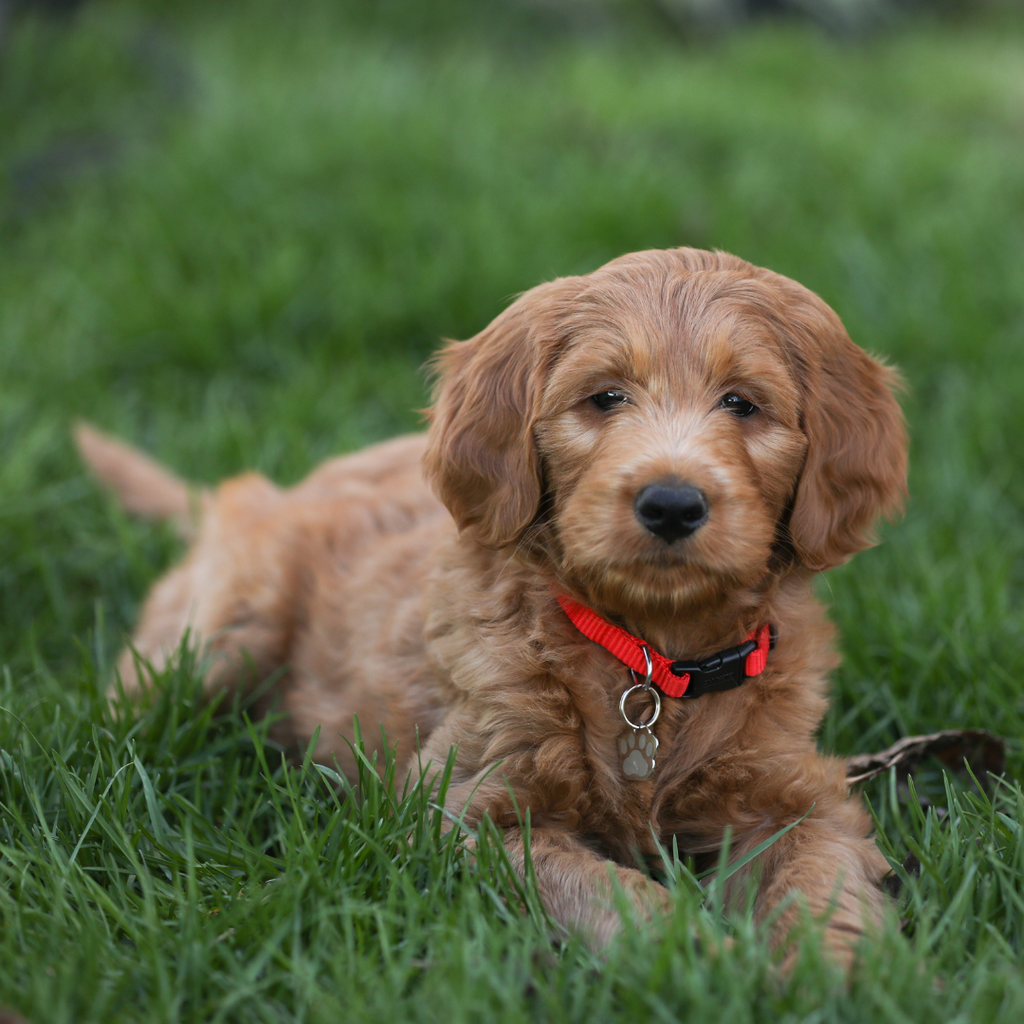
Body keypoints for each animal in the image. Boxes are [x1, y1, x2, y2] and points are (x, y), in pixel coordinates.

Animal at [83, 247, 909, 966]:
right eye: (604, 398)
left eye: (742, 403)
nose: (672, 504)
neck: (648, 657)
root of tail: (263, 495)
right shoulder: (468, 811)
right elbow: (611, 893)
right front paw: (703, 961)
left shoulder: (793, 794)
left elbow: (822, 883)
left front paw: (831, 977)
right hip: (226, 628)